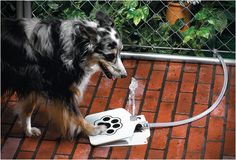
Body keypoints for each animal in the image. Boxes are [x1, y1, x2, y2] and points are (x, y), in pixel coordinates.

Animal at [1, 11, 127, 139]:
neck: (76, 45)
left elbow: (27, 109)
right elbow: (76, 114)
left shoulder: (34, 83)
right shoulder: (60, 89)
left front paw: (29, 131)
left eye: (121, 51)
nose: (124, 75)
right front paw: (93, 130)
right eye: (110, 56)